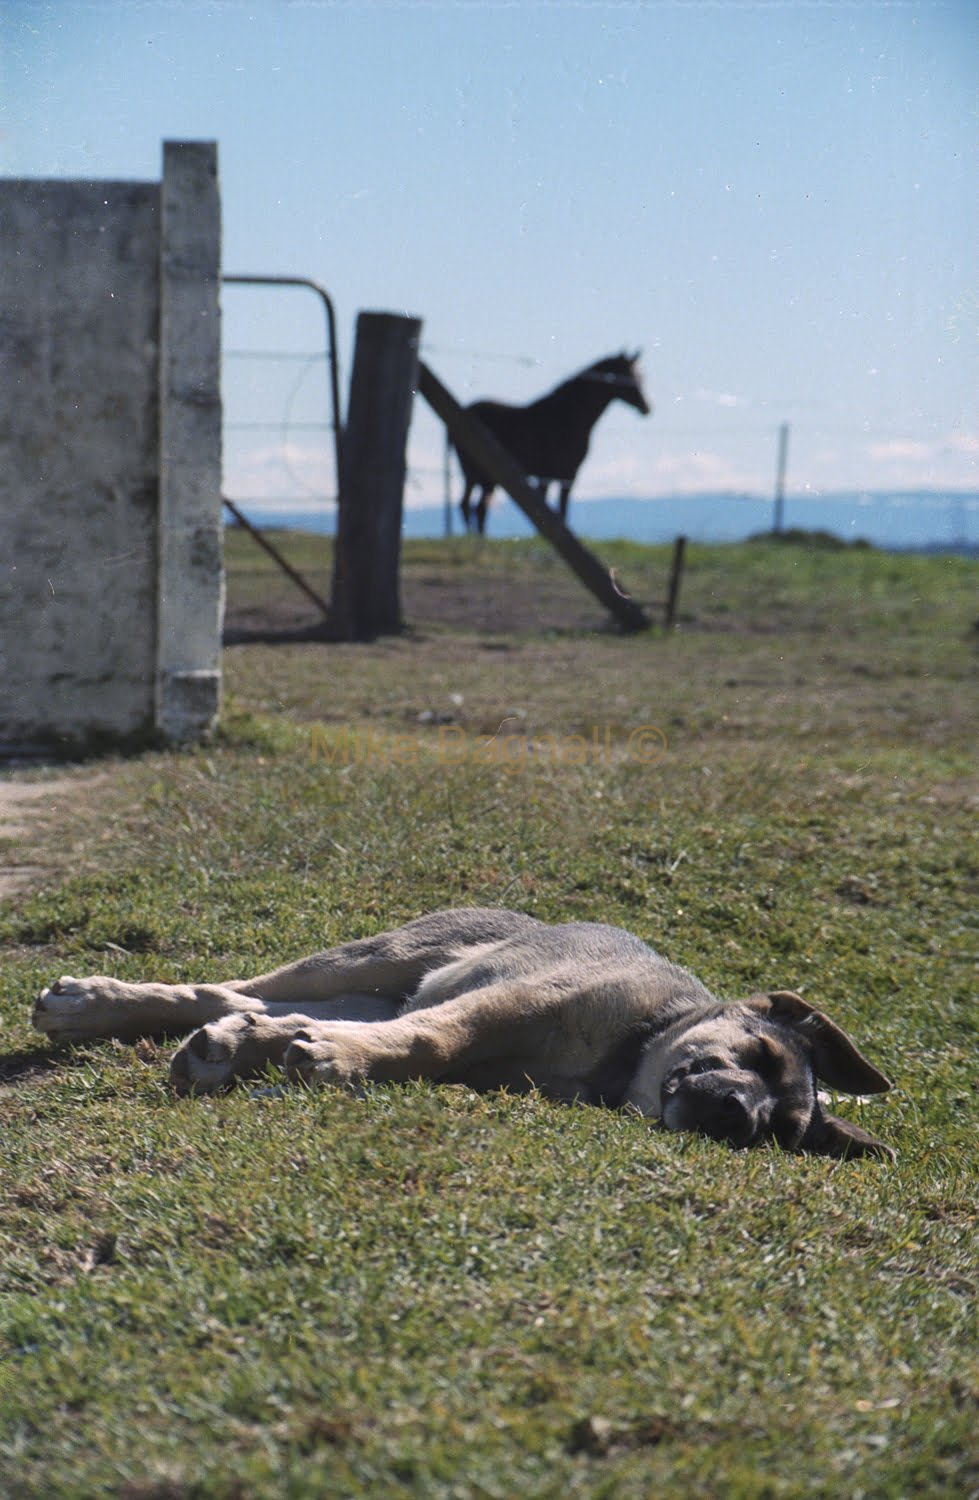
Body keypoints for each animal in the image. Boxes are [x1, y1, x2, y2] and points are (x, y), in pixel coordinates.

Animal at [32, 900, 893, 1158]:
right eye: (757, 1052)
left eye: (779, 1133)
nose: (737, 1114)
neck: (627, 1056)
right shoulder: (506, 1002)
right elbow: (431, 1041)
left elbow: (409, 1049)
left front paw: (320, 1058)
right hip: (374, 958)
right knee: (229, 989)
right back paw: (90, 1003)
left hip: (374, 991)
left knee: (256, 1009)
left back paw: (233, 1042)